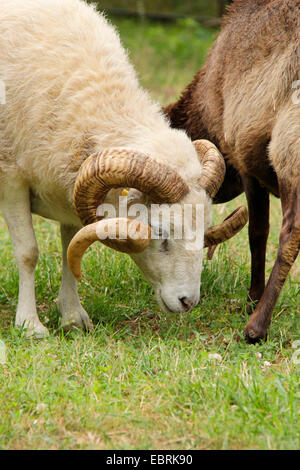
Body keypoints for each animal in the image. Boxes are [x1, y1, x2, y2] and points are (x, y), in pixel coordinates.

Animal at [165, 0, 298, 346]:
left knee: (290, 232)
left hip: (290, 148)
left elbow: (258, 233)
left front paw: (252, 298)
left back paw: (256, 327)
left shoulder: (247, 162)